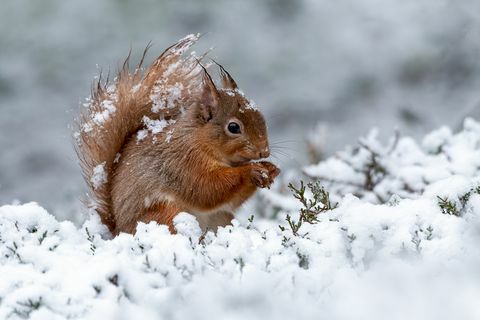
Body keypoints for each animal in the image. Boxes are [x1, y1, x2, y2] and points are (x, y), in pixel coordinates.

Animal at [73, 35, 280, 235]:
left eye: (261, 117)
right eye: (234, 127)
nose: (264, 151)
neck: (197, 139)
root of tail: (119, 231)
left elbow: (231, 200)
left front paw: (271, 169)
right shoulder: (184, 164)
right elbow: (207, 189)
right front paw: (251, 171)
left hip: (220, 218)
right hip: (166, 214)